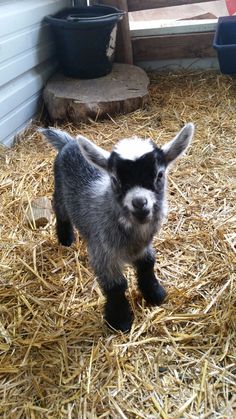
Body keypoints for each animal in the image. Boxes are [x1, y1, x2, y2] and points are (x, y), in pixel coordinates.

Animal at [40, 123, 195, 334]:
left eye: (159, 175)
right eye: (114, 179)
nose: (139, 203)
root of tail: (68, 142)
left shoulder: (143, 248)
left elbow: (148, 263)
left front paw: (155, 294)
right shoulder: (102, 253)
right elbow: (116, 285)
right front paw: (120, 320)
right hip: (60, 191)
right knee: (59, 209)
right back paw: (65, 239)